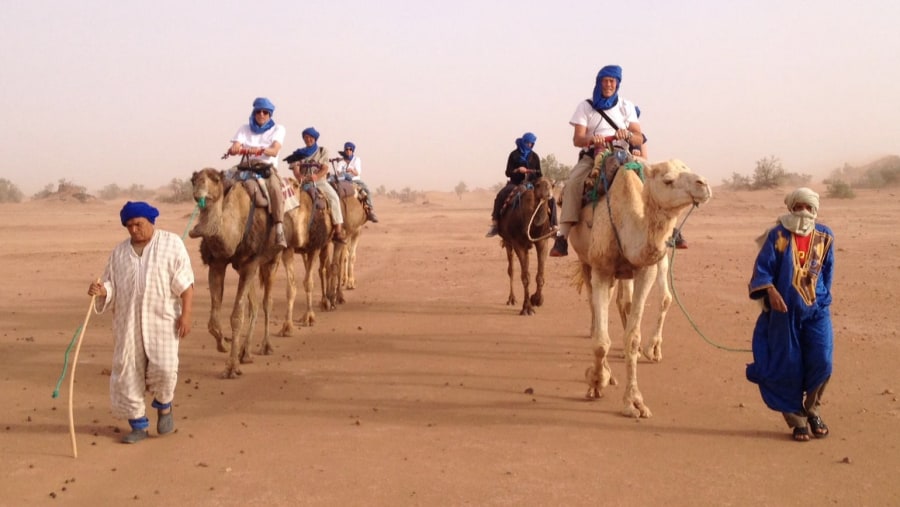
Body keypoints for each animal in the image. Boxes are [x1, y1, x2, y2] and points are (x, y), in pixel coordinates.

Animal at [500, 178, 556, 314]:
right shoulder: (518, 243)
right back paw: (511, 299)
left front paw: (537, 299)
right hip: (508, 242)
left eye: (552, 185)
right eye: (538, 185)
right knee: (511, 269)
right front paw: (527, 308)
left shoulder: (542, 241)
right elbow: (525, 277)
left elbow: (539, 275)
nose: (549, 194)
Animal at [568, 153, 712, 418]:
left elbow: (633, 336)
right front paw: (596, 381)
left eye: (686, 167)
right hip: (586, 261)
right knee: (596, 308)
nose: (704, 184)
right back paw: (605, 372)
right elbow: (601, 341)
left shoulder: (645, 269)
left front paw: (634, 402)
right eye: (668, 180)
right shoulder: (601, 269)